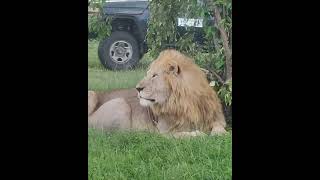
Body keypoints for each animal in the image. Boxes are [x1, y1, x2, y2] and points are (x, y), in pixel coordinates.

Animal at [87, 49, 228, 138]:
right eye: (148, 74)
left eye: (154, 75)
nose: (137, 88)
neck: (185, 103)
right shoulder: (165, 132)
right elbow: (183, 135)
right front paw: (199, 134)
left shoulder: (216, 118)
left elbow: (219, 127)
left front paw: (220, 134)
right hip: (119, 102)